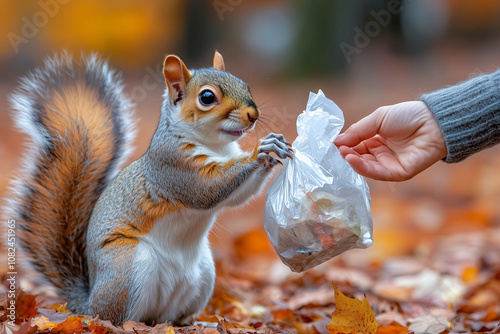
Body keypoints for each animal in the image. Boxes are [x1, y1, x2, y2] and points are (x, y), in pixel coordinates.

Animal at [4, 51, 292, 324]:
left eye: (245, 84)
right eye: (207, 97)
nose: (253, 115)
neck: (216, 146)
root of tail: (86, 303)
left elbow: (237, 196)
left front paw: (273, 150)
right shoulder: (173, 166)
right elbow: (207, 189)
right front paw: (260, 151)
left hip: (204, 274)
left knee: (169, 316)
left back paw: (194, 322)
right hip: (128, 265)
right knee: (118, 316)